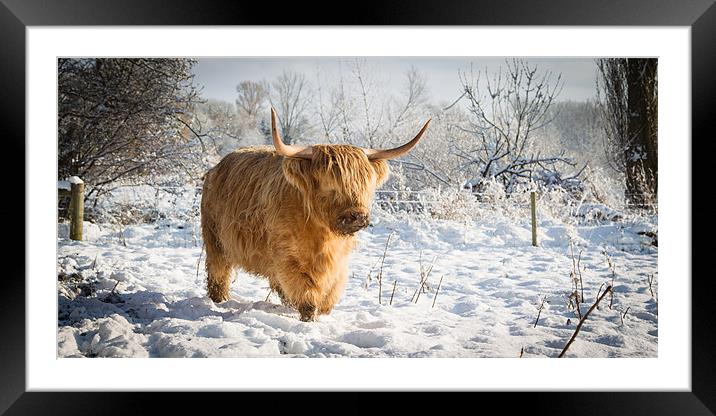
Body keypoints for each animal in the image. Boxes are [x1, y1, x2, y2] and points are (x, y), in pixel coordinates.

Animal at [199, 108, 428, 322]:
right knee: (218, 274)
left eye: (365, 185)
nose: (357, 215)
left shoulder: (338, 264)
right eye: (330, 185)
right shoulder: (288, 259)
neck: (323, 236)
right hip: (215, 241)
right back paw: (219, 300)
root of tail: (215, 168)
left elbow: (328, 297)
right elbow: (306, 295)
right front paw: (309, 317)